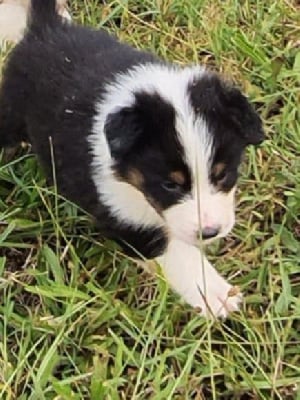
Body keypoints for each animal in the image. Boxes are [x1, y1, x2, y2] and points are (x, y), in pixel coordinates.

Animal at [0, 0, 264, 318]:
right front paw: (217, 295)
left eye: (222, 174)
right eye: (170, 185)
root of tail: (46, 28)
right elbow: (176, 253)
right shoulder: (124, 216)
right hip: (11, 113)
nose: (210, 233)